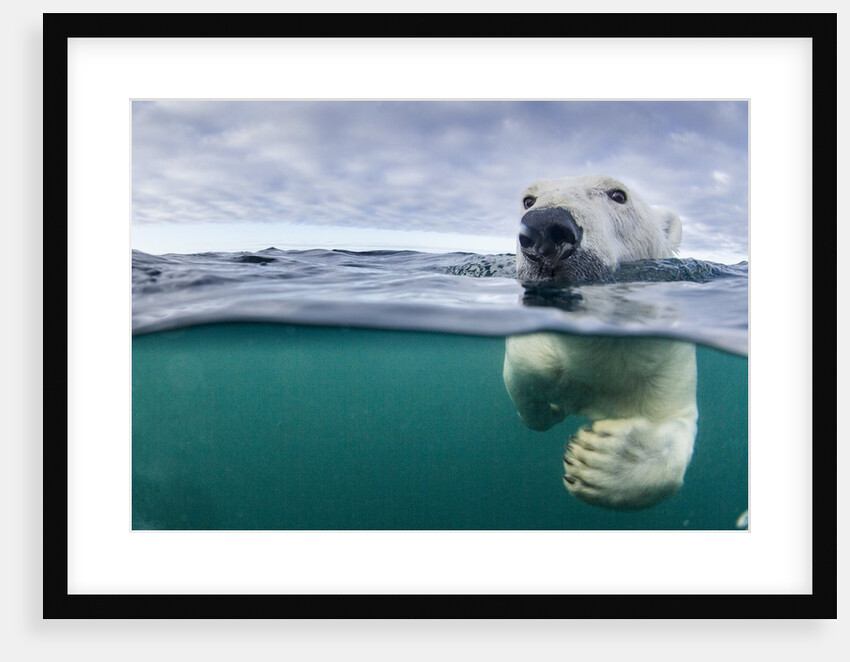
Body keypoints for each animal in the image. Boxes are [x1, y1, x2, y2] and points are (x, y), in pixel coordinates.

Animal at [503, 175, 698, 510]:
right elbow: (523, 373)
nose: (545, 228)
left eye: (618, 194)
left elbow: (675, 420)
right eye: (528, 200)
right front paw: (550, 407)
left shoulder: (667, 359)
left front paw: (598, 459)